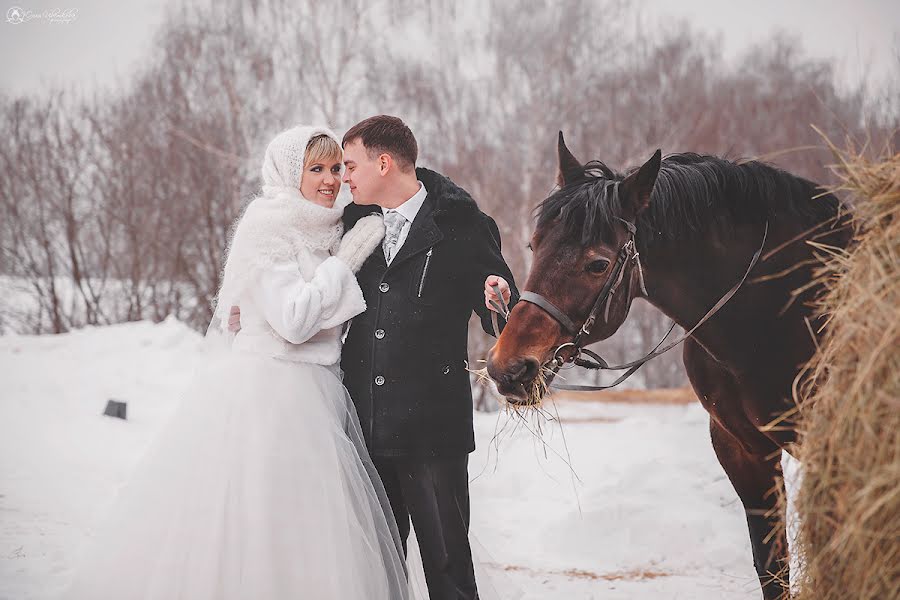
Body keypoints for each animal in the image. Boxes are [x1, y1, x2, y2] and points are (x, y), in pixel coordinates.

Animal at [488, 134, 848, 596]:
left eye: (598, 264)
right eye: (535, 245)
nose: (509, 367)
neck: (778, 308)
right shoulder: (745, 451)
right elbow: (771, 569)